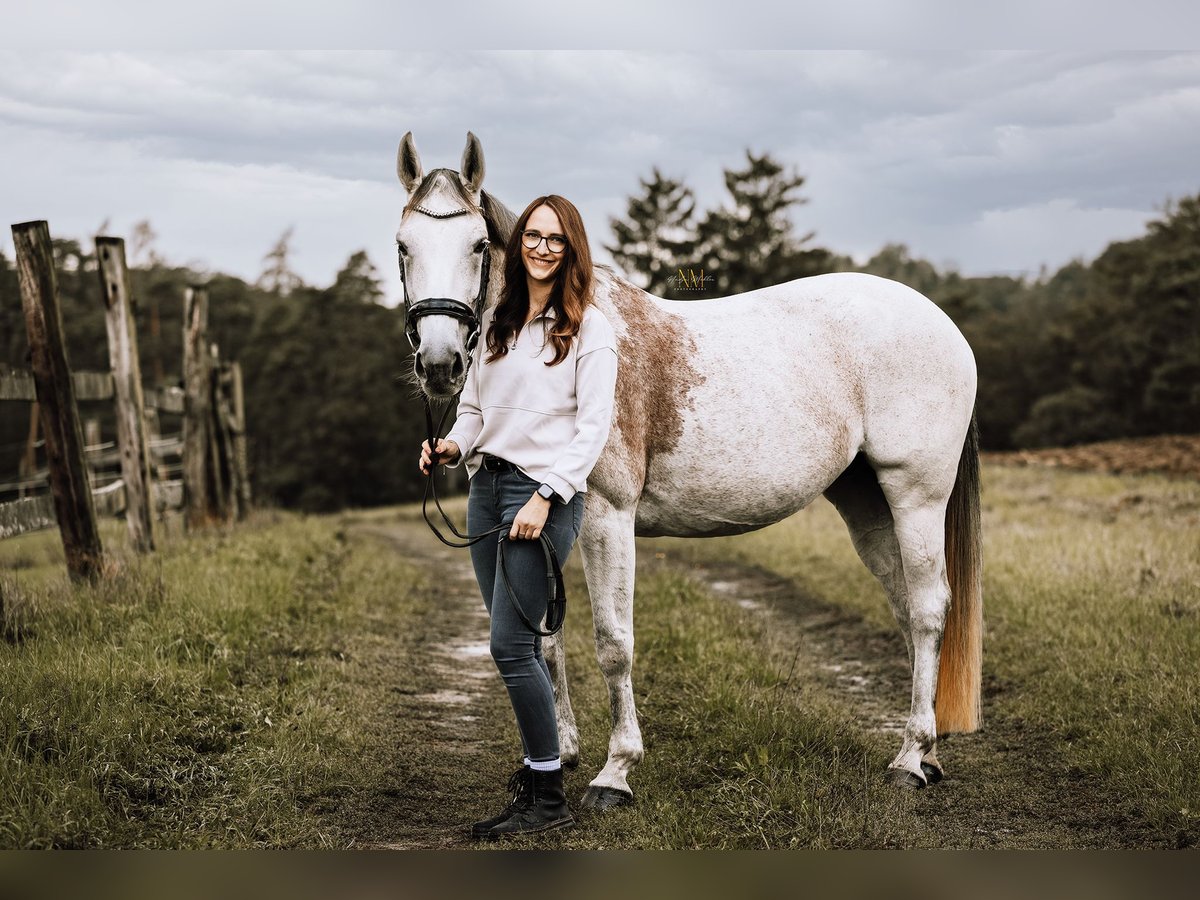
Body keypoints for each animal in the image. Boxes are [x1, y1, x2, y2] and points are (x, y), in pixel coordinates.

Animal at [398, 130, 979, 806]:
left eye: (478, 245)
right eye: (404, 245)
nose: (439, 365)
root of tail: (944, 325)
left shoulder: (606, 518)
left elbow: (613, 643)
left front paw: (616, 771)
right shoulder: (533, 528)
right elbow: (545, 638)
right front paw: (562, 754)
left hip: (916, 497)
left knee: (930, 610)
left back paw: (911, 759)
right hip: (868, 504)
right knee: (908, 611)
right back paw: (924, 753)